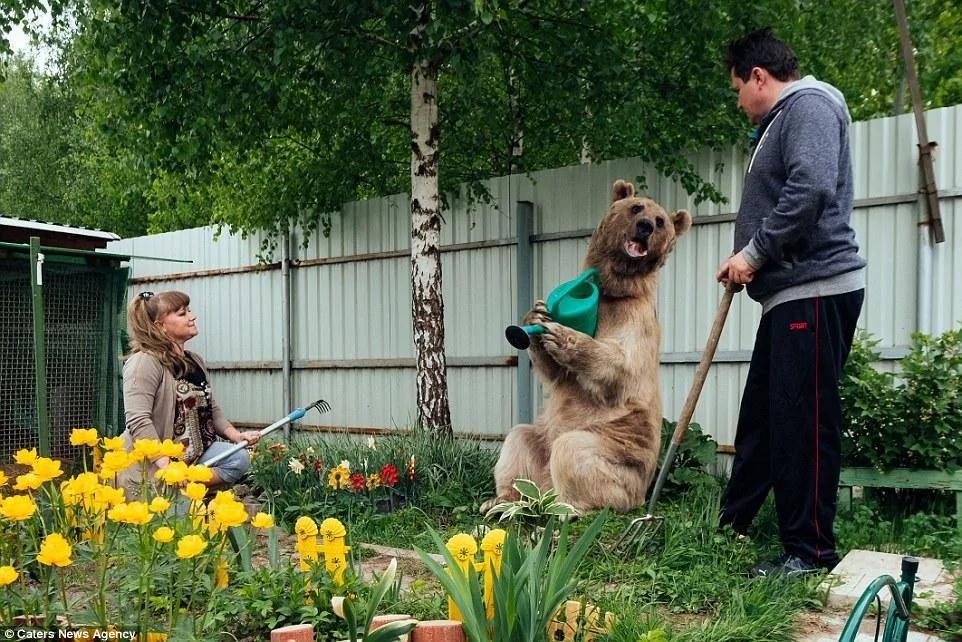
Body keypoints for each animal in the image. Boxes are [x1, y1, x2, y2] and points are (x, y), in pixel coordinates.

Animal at [483, 179, 691, 514]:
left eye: (660, 221)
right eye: (636, 207)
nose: (645, 226)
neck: (613, 289)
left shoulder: (636, 318)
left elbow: (621, 365)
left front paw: (563, 335)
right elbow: (554, 372)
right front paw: (536, 315)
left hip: (618, 455)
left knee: (574, 451)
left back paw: (569, 508)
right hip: (542, 441)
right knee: (518, 440)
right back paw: (501, 499)